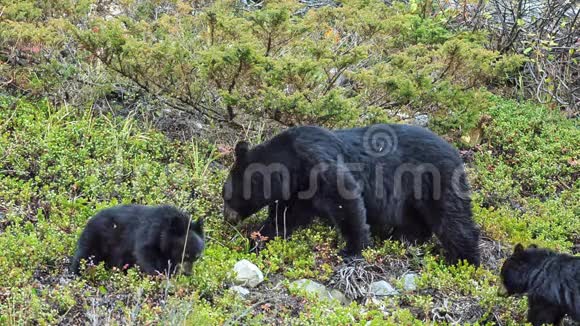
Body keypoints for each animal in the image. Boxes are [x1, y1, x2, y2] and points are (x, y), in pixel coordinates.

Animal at [70, 205, 204, 276]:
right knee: (85, 257)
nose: (188, 273)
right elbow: (146, 256)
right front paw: (158, 275)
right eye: (185, 255)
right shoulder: (148, 236)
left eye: (197, 257)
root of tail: (89, 221)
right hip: (96, 239)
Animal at [222, 124, 480, 264]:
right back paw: (403, 239)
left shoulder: (318, 163)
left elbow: (346, 201)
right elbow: (285, 216)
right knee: (415, 221)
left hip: (434, 179)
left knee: (451, 219)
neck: (291, 164)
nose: (227, 218)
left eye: (226, 196)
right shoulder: (300, 191)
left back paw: (464, 260)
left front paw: (353, 249)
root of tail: (456, 153)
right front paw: (259, 240)